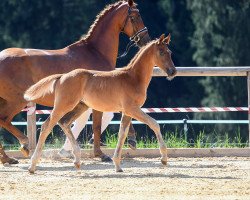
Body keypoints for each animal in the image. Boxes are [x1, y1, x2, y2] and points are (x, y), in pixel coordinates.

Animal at [24, 33, 175, 173]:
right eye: (161, 52)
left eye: (170, 52)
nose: (173, 71)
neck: (132, 78)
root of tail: (62, 76)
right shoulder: (132, 109)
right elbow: (154, 124)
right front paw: (164, 158)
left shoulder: (127, 112)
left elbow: (122, 134)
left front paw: (117, 165)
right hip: (63, 106)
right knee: (46, 126)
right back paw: (32, 165)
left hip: (81, 106)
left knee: (64, 123)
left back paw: (77, 161)